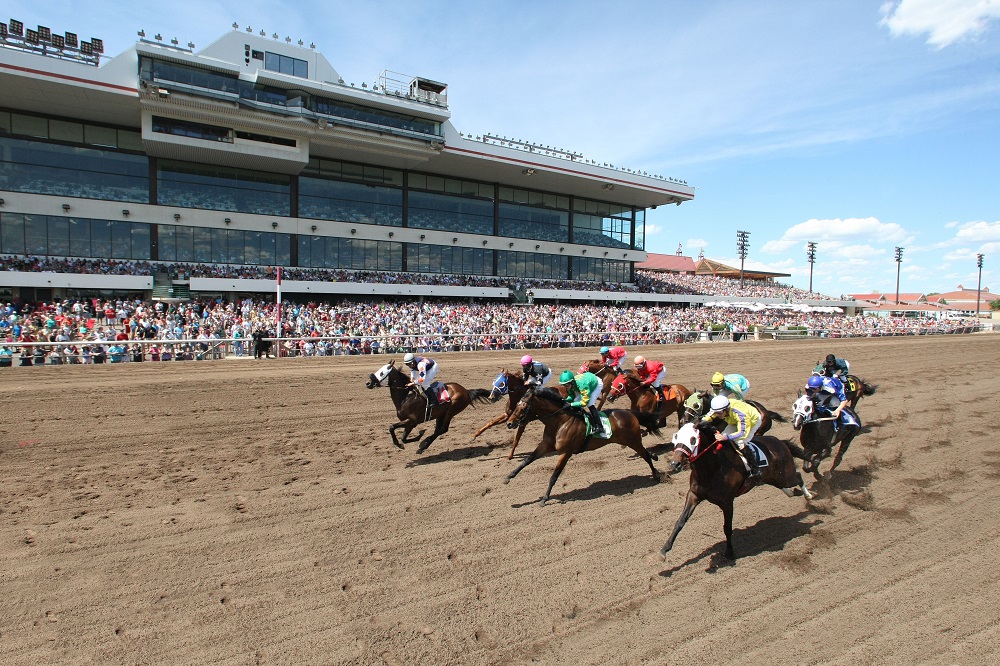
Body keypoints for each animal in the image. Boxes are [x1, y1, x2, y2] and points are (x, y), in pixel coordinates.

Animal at [504, 384, 660, 504]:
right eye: (516, 404)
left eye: (523, 407)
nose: (509, 423)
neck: (560, 422)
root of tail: (630, 412)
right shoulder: (546, 445)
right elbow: (527, 460)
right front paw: (508, 477)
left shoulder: (565, 452)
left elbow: (554, 475)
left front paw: (545, 498)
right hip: (629, 441)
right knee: (645, 453)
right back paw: (655, 457)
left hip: (633, 440)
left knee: (645, 455)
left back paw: (656, 475)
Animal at [660, 420, 816, 556]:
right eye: (676, 436)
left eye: (693, 439)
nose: (674, 463)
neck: (712, 468)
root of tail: (780, 442)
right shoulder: (693, 494)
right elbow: (680, 522)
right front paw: (664, 550)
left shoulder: (727, 502)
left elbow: (727, 528)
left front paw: (729, 552)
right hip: (774, 479)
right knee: (787, 487)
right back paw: (793, 492)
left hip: (786, 476)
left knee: (798, 476)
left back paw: (809, 496)